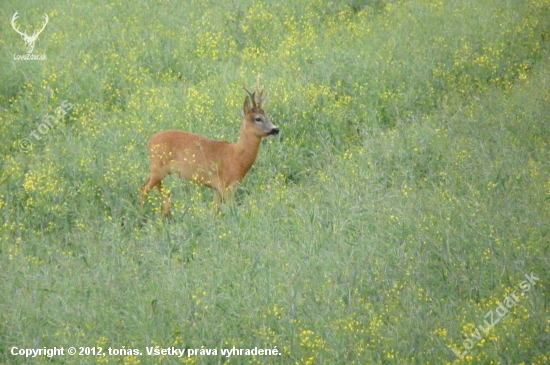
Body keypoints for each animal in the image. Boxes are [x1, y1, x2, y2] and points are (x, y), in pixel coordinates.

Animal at [141, 84, 280, 215]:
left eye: (267, 116)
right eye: (258, 118)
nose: (276, 129)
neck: (236, 156)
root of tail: (150, 141)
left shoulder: (218, 188)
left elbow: (214, 211)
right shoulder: (225, 185)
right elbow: (232, 210)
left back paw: (165, 211)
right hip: (158, 167)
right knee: (144, 189)